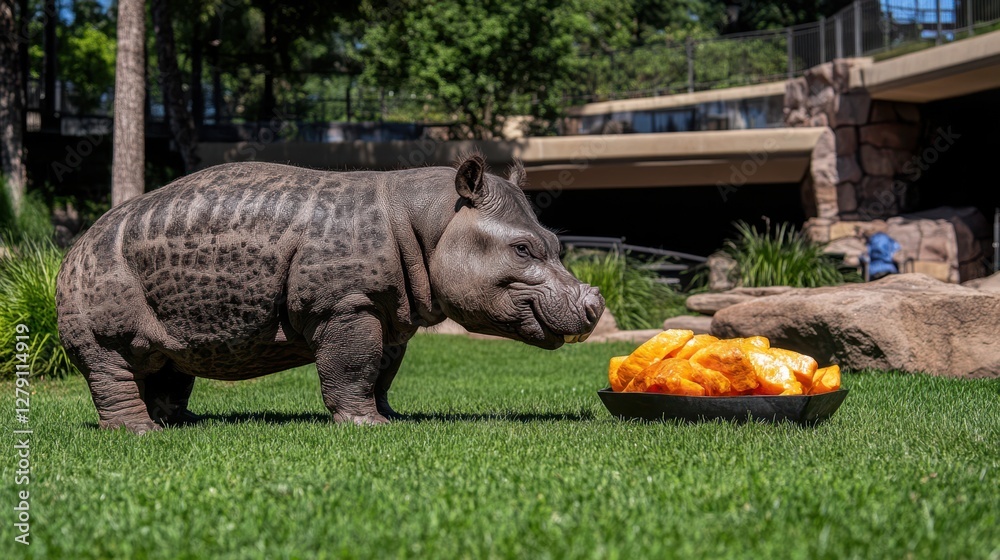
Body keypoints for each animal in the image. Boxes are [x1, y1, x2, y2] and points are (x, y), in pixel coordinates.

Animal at [55, 155, 605, 433]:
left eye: (554, 243)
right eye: (522, 249)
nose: (594, 306)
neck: (435, 217)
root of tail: (73, 243)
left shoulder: (390, 305)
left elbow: (381, 369)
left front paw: (390, 416)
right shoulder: (347, 302)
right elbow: (354, 363)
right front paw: (368, 428)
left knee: (168, 356)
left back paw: (183, 422)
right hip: (96, 269)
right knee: (111, 356)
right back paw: (139, 433)